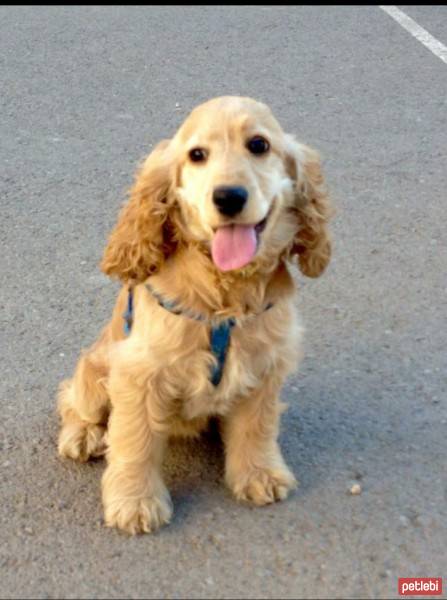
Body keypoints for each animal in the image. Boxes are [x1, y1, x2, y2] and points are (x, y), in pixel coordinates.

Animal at [57, 95, 334, 536]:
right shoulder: (138, 373)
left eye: (259, 145)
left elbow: (257, 426)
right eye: (197, 155)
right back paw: (82, 435)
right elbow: (134, 441)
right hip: (94, 368)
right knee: (72, 397)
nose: (228, 197)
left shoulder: (265, 364)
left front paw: (260, 475)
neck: (224, 294)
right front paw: (135, 502)